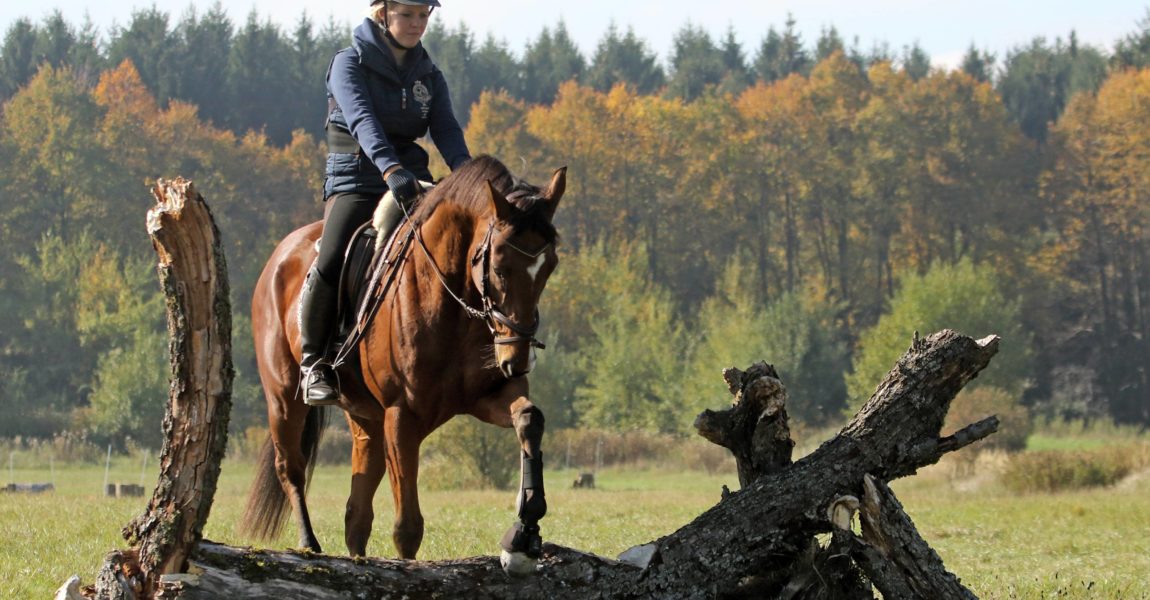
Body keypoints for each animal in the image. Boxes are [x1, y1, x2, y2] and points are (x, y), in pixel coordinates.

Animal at [242, 152, 565, 570]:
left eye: (549, 266)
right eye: (498, 265)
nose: (517, 357)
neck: (453, 302)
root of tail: (279, 256)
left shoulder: (489, 394)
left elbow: (529, 419)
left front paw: (524, 532)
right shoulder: (402, 414)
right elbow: (407, 528)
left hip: (366, 418)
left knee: (357, 511)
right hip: (284, 398)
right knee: (292, 470)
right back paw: (309, 545)